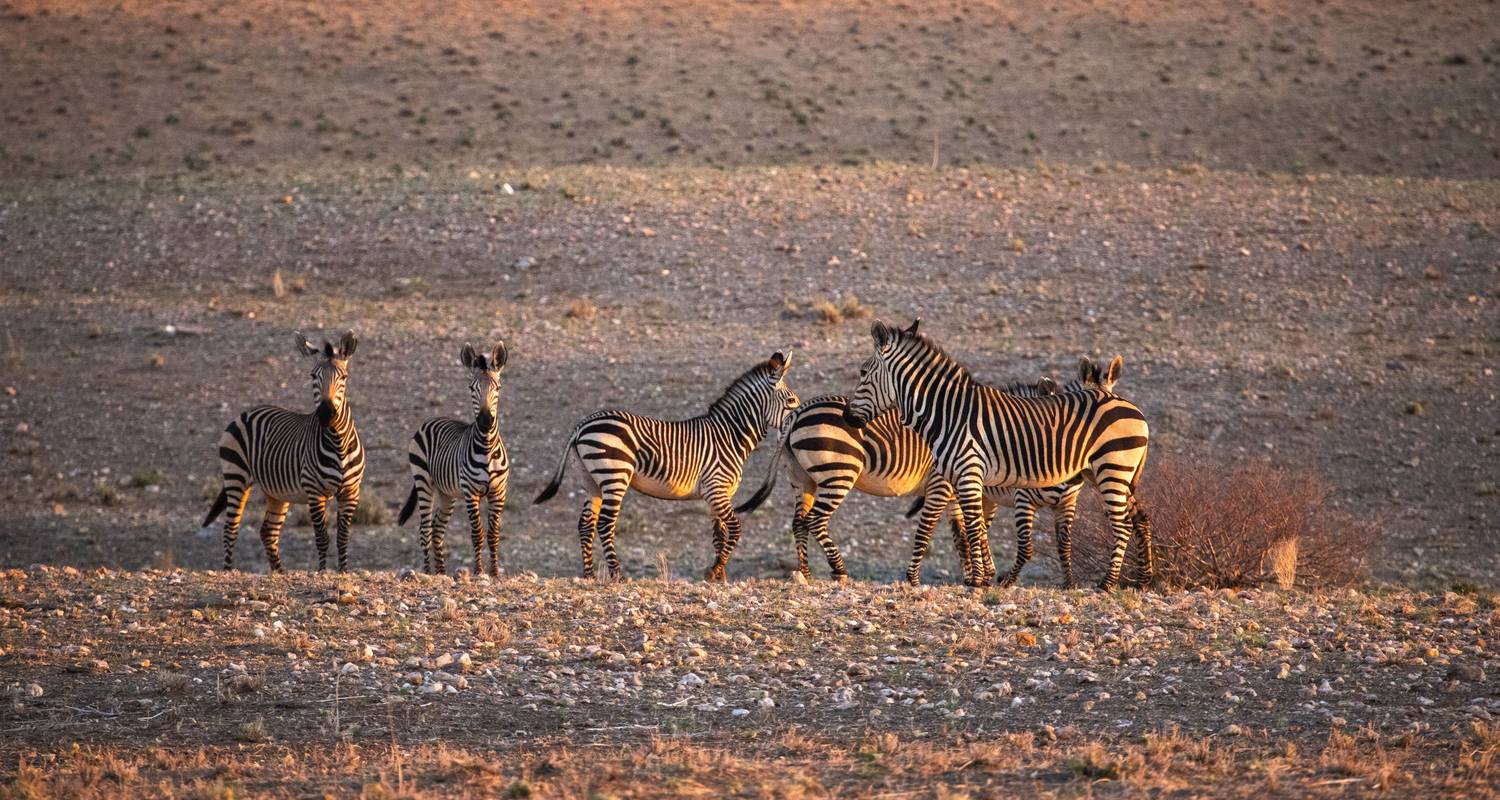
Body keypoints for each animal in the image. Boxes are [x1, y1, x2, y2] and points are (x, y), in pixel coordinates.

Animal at [202, 331, 366, 573]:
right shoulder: (314, 492)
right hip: (236, 476)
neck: (337, 443)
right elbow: (322, 537)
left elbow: (343, 537)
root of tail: (247, 412)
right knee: (230, 528)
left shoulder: (351, 491)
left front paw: (343, 572)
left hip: (276, 492)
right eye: (313, 376)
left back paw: (279, 572)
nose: (326, 414)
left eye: (344, 377)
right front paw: (322, 572)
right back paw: (228, 571)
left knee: (268, 532)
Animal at [399, 342, 510, 573]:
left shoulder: (499, 492)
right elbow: (477, 534)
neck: (487, 448)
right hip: (424, 481)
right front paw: (479, 572)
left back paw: (442, 573)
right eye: (471, 389)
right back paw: (428, 573)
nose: (485, 420)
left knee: (437, 529)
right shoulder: (470, 492)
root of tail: (432, 420)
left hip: (446, 493)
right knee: (425, 530)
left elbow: (494, 535)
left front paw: (495, 572)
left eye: (498, 388)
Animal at [537, 349, 804, 579]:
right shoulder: (716, 489)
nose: (801, 418)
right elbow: (735, 529)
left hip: (590, 481)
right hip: (614, 475)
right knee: (604, 524)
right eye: (791, 401)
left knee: (585, 525)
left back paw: (590, 576)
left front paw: (720, 578)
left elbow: (719, 535)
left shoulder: (719, 494)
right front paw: (715, 572)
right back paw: (618, 576)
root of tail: (583, 424)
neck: (729, 435)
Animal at [732, 373, 1062, 585]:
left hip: (802, 479)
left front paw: (975, 575)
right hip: (839, 472)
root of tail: (798, 411)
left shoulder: (955, 491)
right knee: (815, 521)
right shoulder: (941, 483)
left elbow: (965, 533)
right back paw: (839, 570)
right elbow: (941, 529)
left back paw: (806, 573)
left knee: (799, 523)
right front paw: (920, 578)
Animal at [852, 321, 1152, 588]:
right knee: (1139, 518)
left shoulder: (975, 475)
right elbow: (976, 529)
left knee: (1123, 525)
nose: (849, 418)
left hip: (1112, 470)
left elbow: (974, 529)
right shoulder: (967, 480)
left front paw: (976, 582)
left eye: (863, 372)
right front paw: (982, 578)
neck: (949, 413)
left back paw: (1108, 583)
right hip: (1108, 475)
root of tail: (1132, 409)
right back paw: (1141, 579)